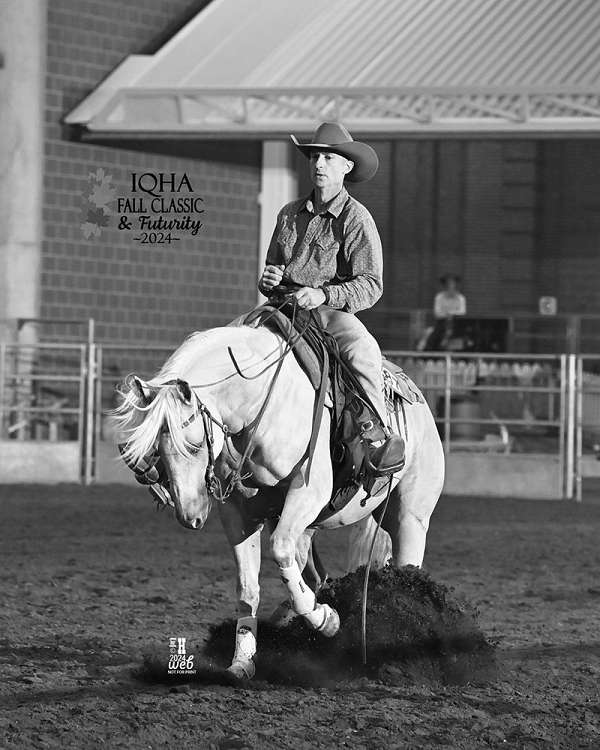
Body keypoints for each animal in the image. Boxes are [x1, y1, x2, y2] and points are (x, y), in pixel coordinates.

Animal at [115, 324, 446, 680]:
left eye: (193, 445)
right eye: (158, 448)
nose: (189, 515)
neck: (260, 405)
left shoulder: (309, 490)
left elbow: (279, 551)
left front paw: (327, 620)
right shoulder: (238, 514)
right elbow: (248, 586)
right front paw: (242, 661)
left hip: (409, 516)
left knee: (407, 569)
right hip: (309, 526)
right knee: (313, 573)